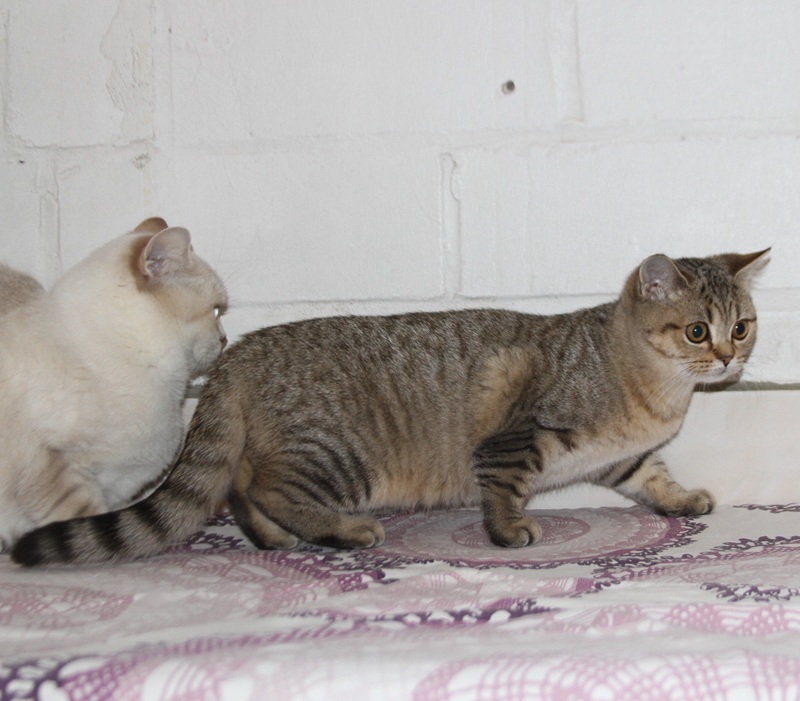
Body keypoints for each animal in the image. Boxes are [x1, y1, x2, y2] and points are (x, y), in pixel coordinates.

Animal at [0, 217, 228, 551]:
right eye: (216, 311)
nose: (225, 339)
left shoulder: (119, 484)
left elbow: (110, 519)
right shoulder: (52, 467)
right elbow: (83, 523)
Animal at [11, 249, 768, 567]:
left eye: (742, 326)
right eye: (695, 331)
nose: (729, 359)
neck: (655, 390)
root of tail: (240, 349)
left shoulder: (620, 459)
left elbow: (654, 478)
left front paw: (683, 498)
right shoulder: (518, 438)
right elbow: (504, 490)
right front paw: (509, 530)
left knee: (238, 486)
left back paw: (279, 539)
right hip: (340, 455)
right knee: (268, 486)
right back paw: (344, 531)